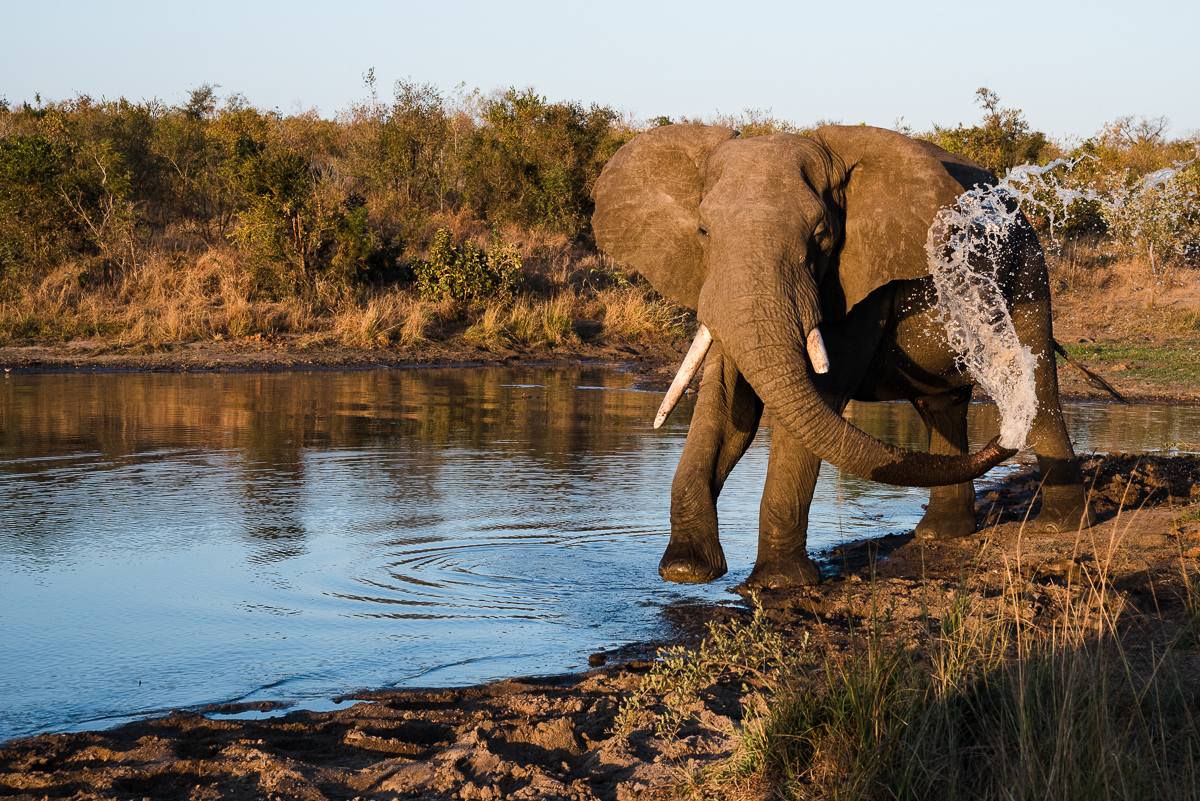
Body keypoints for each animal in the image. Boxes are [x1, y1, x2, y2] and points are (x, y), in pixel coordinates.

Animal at [591, 123, 1095, 589]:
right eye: (703, 231)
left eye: (820, 237)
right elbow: (725, 408)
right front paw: (685, 571)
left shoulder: (860, 280)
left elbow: (817, 400)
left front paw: (778, 584)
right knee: (942, 406)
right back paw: (939, 535)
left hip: (1028, 272)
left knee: (1037, 384)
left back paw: (1059, 526)